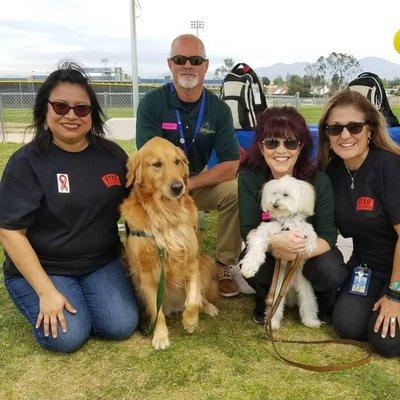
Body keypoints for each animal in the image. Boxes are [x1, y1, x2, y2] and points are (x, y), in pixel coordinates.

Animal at [241, 177, 322, 330]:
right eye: (274, 193)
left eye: (286, 194)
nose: (275, 205)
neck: (287, 221)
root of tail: (289, 287)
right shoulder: (267, 229)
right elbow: (257, 243)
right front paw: (248, 267)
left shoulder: (302, 229)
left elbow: (310, 235)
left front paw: (308, 246)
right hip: (277, 290)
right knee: (275, 308)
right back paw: (272, 323)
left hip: (305, 288)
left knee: (308, 303)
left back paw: (310, 321)